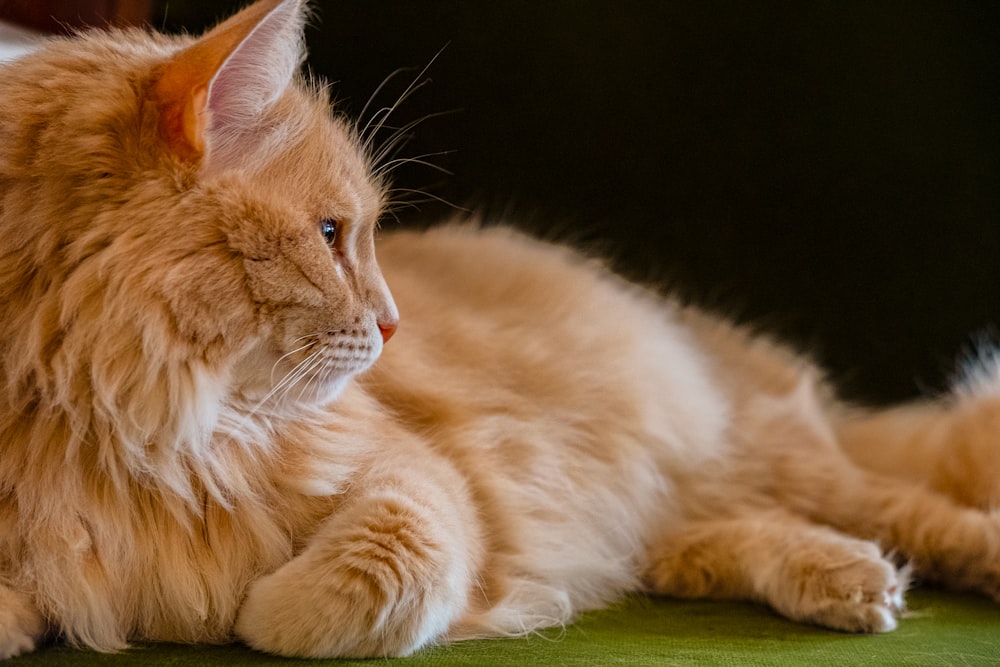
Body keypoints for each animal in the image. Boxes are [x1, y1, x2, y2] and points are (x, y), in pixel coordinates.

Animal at [1, 0, 1000, 656]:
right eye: (329, 236)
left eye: (354, 231)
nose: (393, 326)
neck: (123, 430)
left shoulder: (420, 480)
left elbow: (355, 586)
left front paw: (236, 609)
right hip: (682, 509)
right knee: (726, 537)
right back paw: (845, 578)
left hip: (759, 446)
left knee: (913, 507)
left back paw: (917, 573)